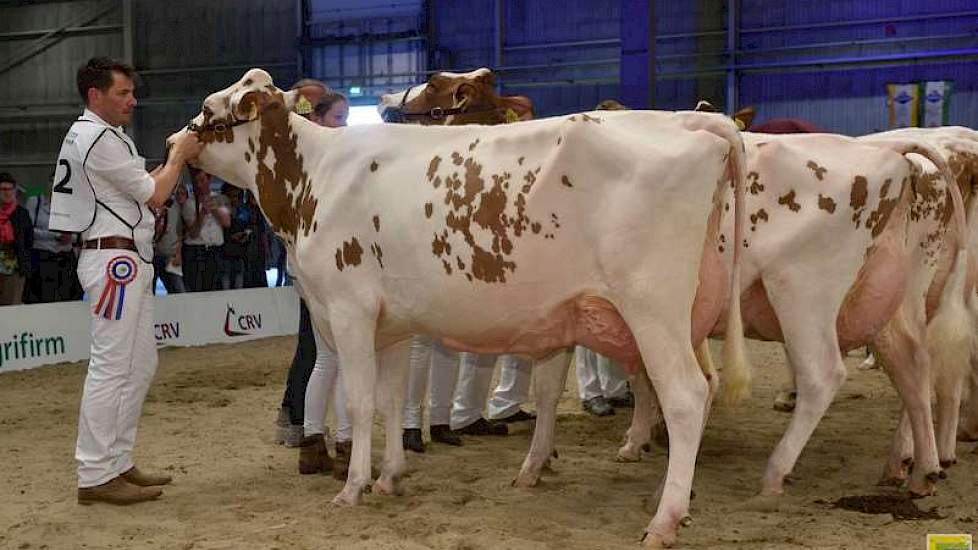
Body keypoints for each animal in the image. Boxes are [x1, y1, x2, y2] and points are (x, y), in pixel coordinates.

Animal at [175, 69, 752, 548]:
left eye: (206, 107)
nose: (172, 141)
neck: (315, 180)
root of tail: (694, 122)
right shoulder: (391, 323)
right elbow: (390, 400)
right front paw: (390, 477)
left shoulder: (347, 310)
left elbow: (360, 402)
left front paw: (354, 486)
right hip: (684, 314)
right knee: (703, 387)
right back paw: (667, 495)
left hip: (653, 309)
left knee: (685, 395)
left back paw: (664, 520)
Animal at [612, 130, 964, 500]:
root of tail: (893, 150)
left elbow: (648, 375)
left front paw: (640, 441)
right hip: (892, 299)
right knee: (914, 364)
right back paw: (918, 470)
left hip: (801, 293)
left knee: (824, 375)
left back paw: (776, 472)